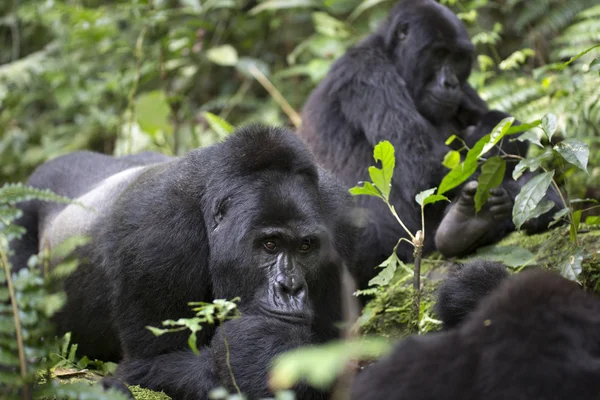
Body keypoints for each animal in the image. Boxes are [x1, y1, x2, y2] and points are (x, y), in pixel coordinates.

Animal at [9, 124, 358, 396]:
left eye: (305, 247)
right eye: (269, 245)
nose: (290, 287)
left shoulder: (342, 220)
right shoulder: (158, 238)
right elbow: (148, 364)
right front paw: (258, 349)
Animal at [298, 0, 556, 290]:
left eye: (457, 58)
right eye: (438, 54)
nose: (450, 83)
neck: (390, 55)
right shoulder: (367, 73)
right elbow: (423, 169)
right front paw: (526, 196)